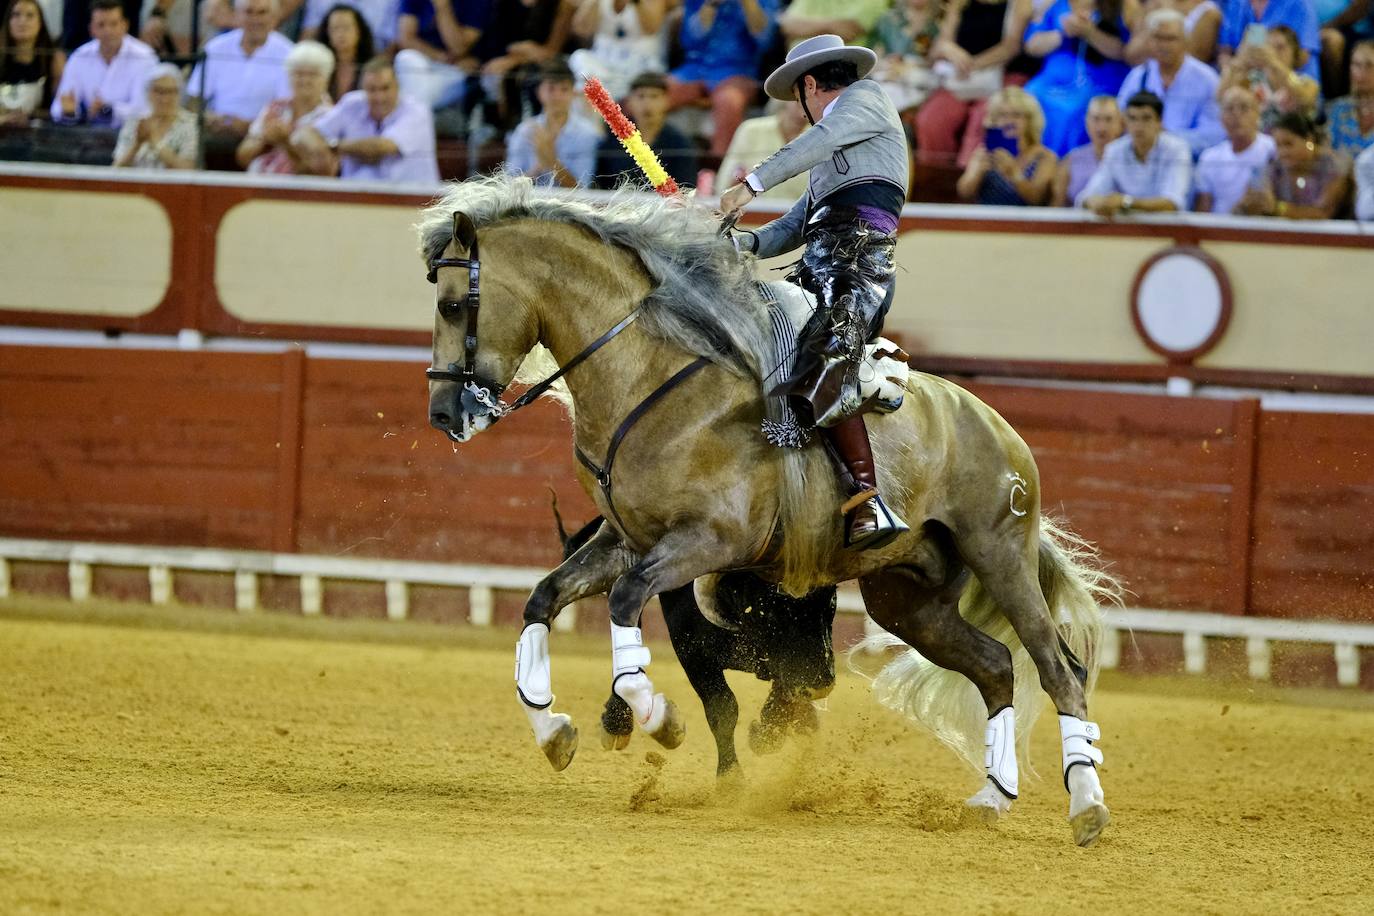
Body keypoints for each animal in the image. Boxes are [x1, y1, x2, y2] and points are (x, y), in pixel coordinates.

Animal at [555, 513, 835, 780]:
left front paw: (772, 731)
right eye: (772, 606)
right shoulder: (693, 653)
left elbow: (783, 691)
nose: (821, 684)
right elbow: (723, 708)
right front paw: (730, 778)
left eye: (830, 601)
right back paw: (617, 722)